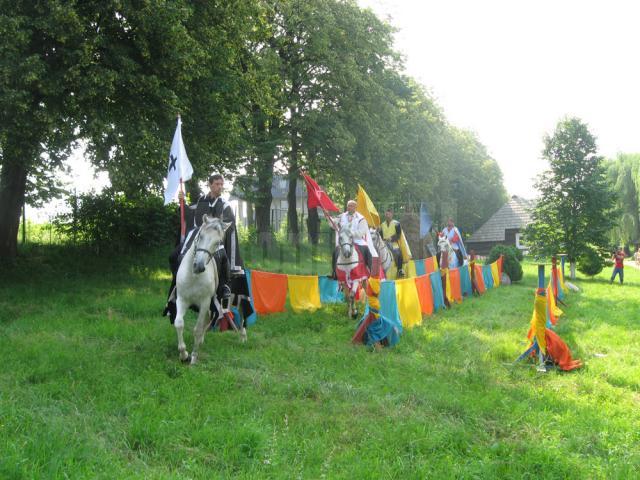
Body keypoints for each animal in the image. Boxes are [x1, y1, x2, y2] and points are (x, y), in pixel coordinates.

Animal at [174, 214, 244, 364]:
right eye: (200, 235)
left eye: (218, 242)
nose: (198, 266)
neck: (193, 276)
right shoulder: (182, 300)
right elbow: (179, 323)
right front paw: (183, 354)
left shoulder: (205, 302)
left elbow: (198, 328)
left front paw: (193, 357)